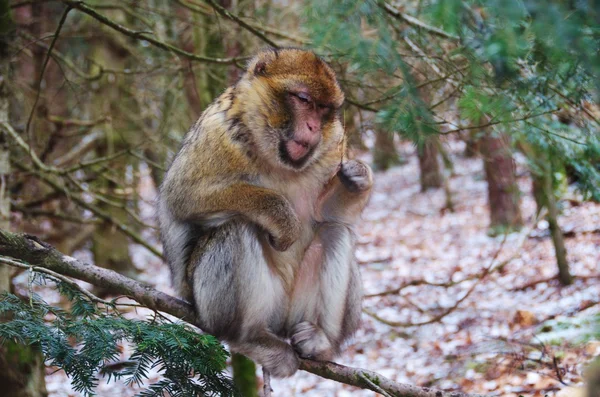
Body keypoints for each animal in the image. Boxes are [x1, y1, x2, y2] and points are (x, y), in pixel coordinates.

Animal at [158, 48, 376, 376]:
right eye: (303, 100)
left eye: (324, 109)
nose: (313, 127)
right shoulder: (217, 134)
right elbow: (182, 198)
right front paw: (282, 218)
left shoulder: (333, 144)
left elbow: (327, 214)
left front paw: (358, 177)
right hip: (226, 306)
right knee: (237, 228)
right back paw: (249, 338)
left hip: (296, 307)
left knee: (335, 231)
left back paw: (320, 342)